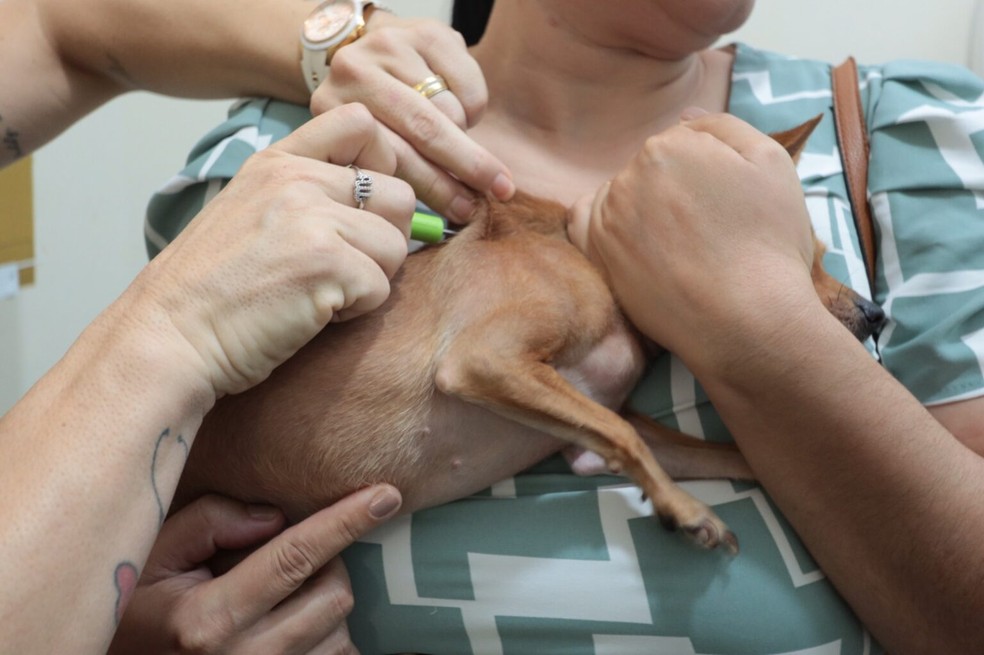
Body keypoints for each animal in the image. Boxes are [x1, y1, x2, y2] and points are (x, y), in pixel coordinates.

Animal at [173, 118, 888, 552]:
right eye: (796, 259)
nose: (878, 314)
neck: (591, 262)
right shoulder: (485, 361)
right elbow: (625, 436)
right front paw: (685, 510)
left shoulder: (590, 424)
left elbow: (716, 454)